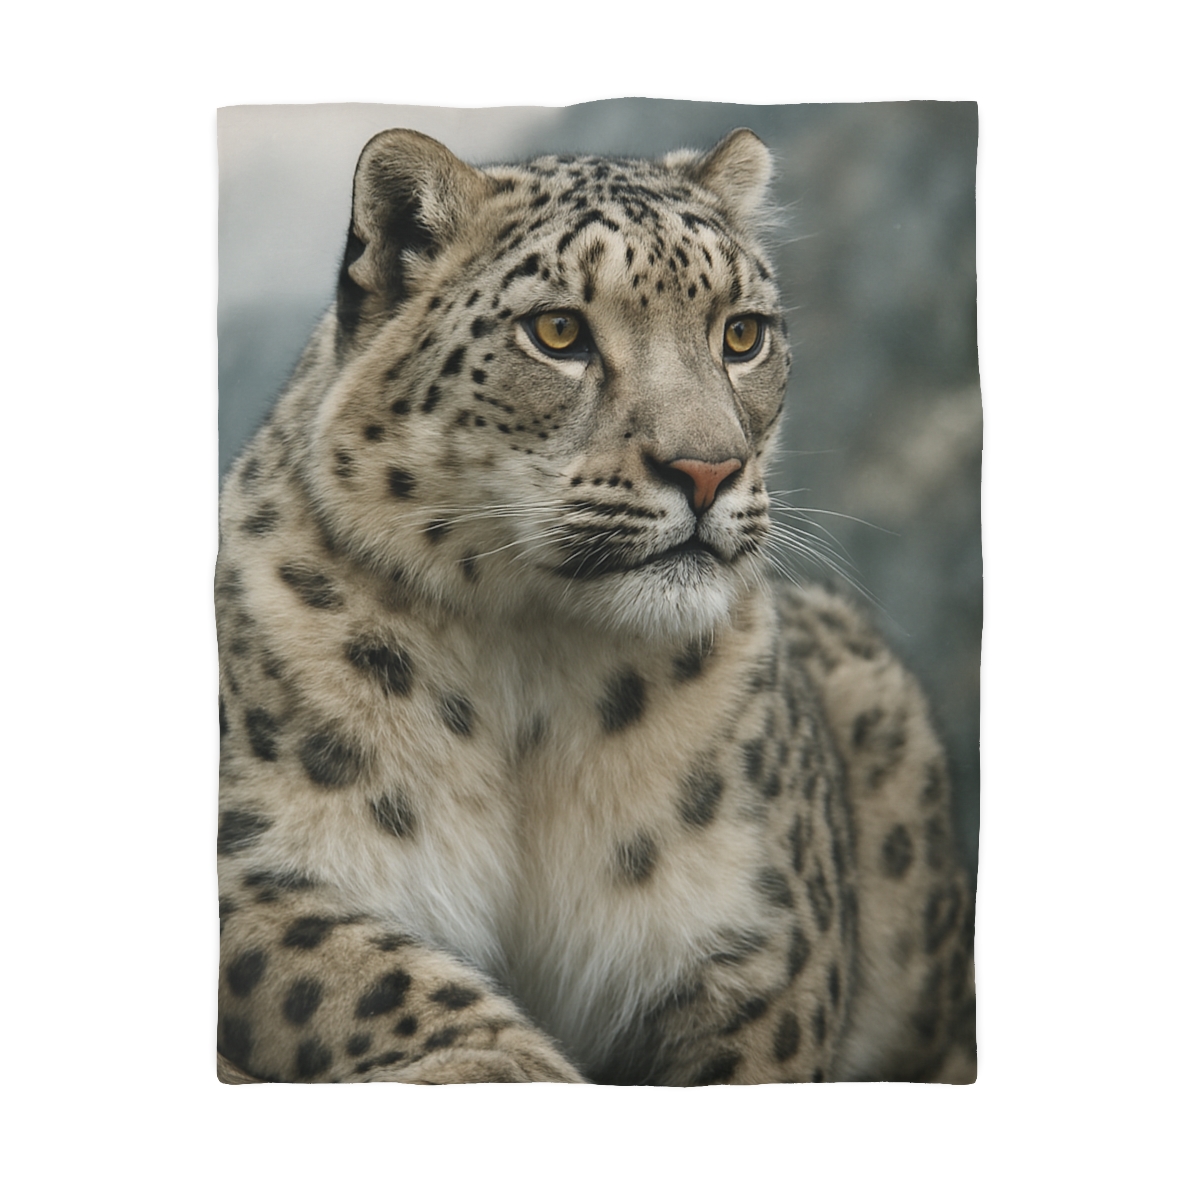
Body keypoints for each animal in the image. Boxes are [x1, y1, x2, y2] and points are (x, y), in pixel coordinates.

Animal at [215, 127, 976, 1085]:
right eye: (558, 331)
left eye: (741, 333)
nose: (708, 469)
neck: (535, 670)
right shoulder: (254, 866)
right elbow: (364, 976)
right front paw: (507, 1065)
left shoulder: (757, 930)